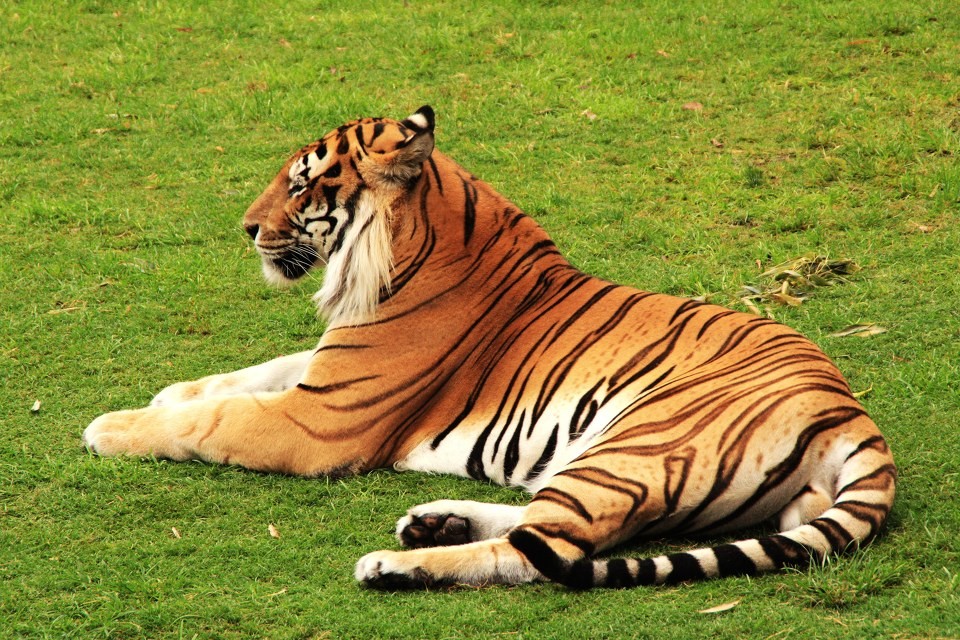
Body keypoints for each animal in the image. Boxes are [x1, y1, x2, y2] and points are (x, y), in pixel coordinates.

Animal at [80, 105, 892, 592]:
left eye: (303, 185)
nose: (247, 228)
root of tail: (853, 414)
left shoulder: (320, 420)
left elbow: (213, 420)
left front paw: (113, 426)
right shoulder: (327, 368)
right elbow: (255, 372)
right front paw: (170, 391)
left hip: (637, 444)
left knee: (546, 553)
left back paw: (396, 563)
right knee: (553, 522)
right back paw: (433, 520)